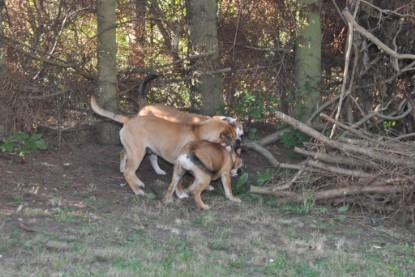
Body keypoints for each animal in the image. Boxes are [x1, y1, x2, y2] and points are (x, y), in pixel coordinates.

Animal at [90, 96, 237, 195]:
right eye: (230, 140)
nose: (236, 144)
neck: (200, 131)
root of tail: (129, 120)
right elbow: (179, 182)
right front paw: (181, 194)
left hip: (141, 151)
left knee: (129, 167)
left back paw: (138, 182)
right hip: (137, 153)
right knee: (128, 172)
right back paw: (137, 191)